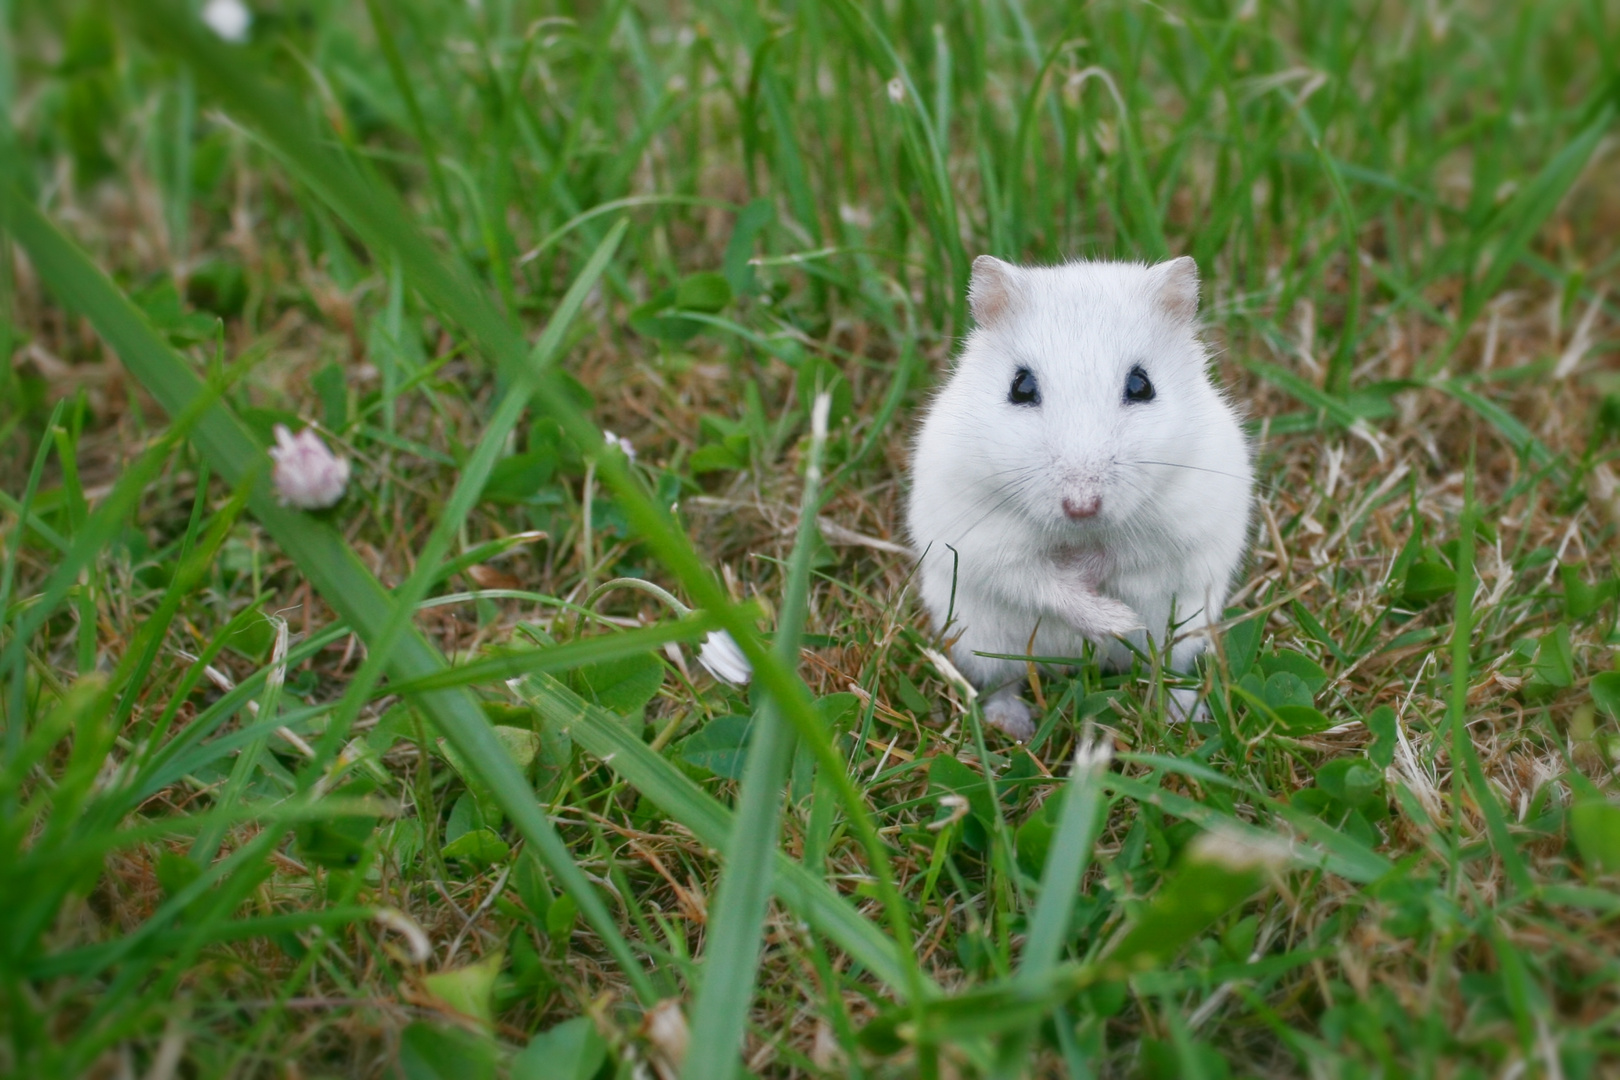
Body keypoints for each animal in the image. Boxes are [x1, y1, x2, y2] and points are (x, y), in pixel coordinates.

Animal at [913, 255, 1250, 744]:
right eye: (1020, 386)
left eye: (1141, 384)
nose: (1081, 506)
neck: (1082, 534)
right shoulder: (987, 547)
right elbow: (1042, 583)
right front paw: (1117, 619)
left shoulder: (1179, 530)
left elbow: (1124, 557)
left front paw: (1120, 614)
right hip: (981, 642)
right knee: (1004, 682)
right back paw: (1013, 725)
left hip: (1186, 634)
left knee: (1170, 672)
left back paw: (1183, 713)